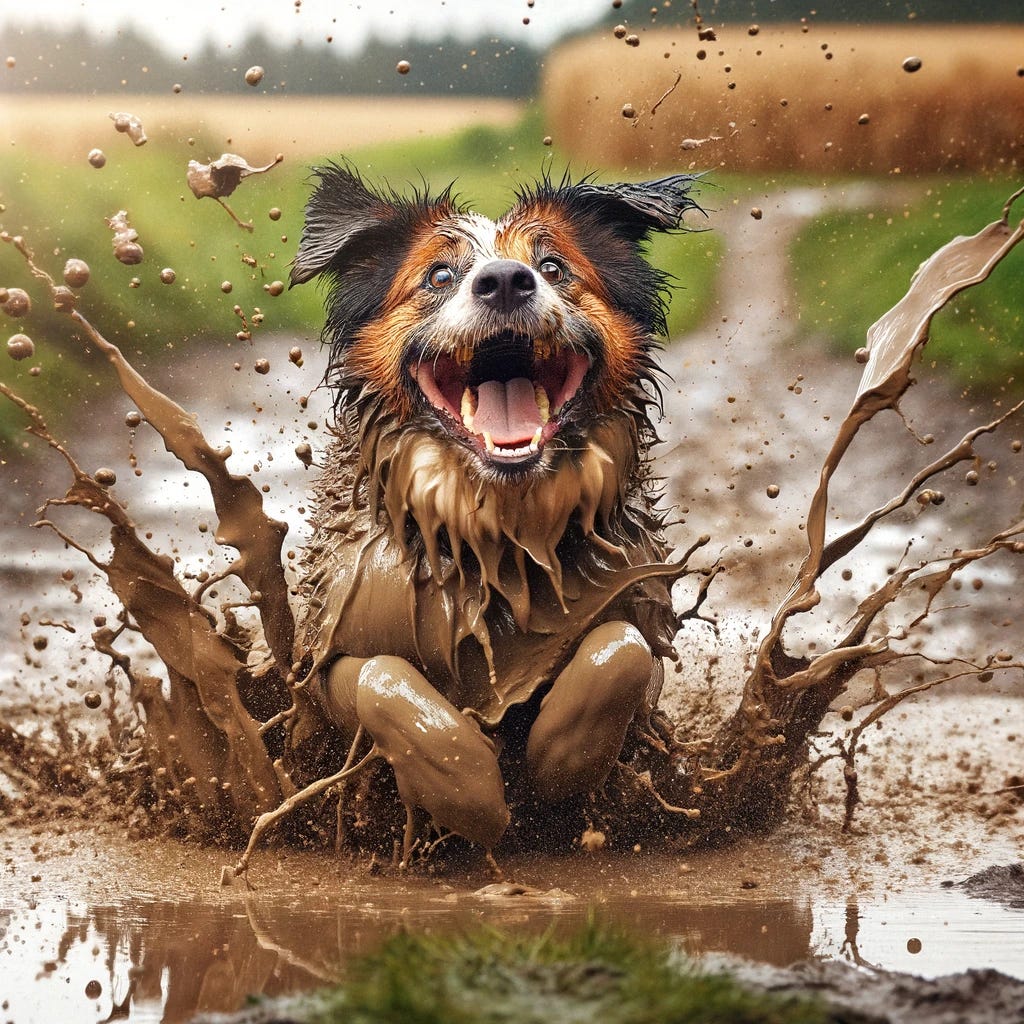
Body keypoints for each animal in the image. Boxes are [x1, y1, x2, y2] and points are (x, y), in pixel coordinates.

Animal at [290, 165, 704, 856]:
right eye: (438, 276)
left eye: (554, 266)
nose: (507, 281)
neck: (501, 531)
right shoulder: (328, 658)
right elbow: (383, 679)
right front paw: (476, 795)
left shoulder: (640, 619)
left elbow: (620, 651)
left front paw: (555, 770)